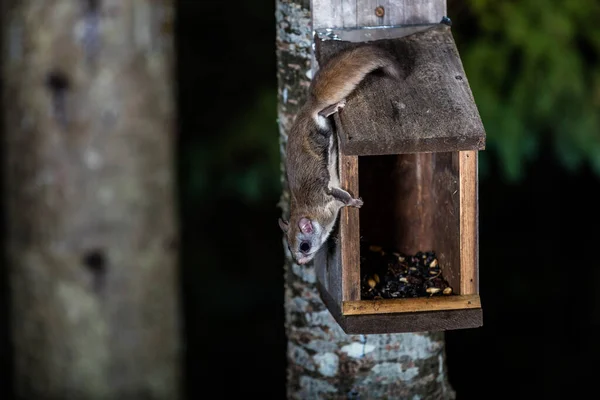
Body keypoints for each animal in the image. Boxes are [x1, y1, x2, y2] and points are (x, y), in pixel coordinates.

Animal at [278, 44, 400, 266]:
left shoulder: (329, 199)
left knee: (321, 114)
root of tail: (306, 109)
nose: (300, 262)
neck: (308, 212)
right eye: (290, 248)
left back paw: (333, 107)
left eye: (304, 246)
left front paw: (354, 202)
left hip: (320, 129)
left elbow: (342, 196)